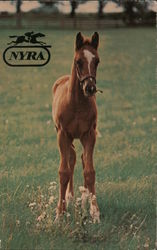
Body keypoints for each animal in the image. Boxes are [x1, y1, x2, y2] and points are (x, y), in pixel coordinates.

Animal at [52, 31, 100, 223]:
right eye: (78, 61)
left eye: (97, 61)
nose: (90, 88)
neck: (77, 104)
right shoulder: (63, 134)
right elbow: (64, 172)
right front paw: (60, 213)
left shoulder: (89, 134)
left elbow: (89, 171)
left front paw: (95, 212)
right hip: (67, 137)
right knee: (71, 158)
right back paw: (70, 198)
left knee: (79, 158)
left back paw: (85, 198)